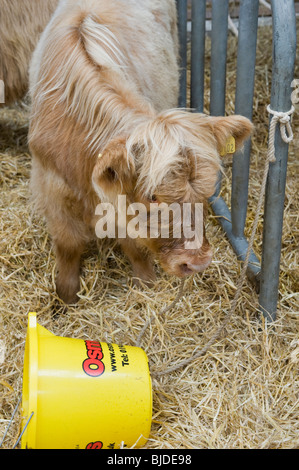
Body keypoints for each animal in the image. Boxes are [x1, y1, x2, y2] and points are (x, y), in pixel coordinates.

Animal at [28, 0, 253, 302]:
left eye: (206, 191)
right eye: (152, 197)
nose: (197, 262)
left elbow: (135, 247)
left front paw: (147, 285)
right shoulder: (53, 192)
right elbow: (68, 247)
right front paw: (66, 298)